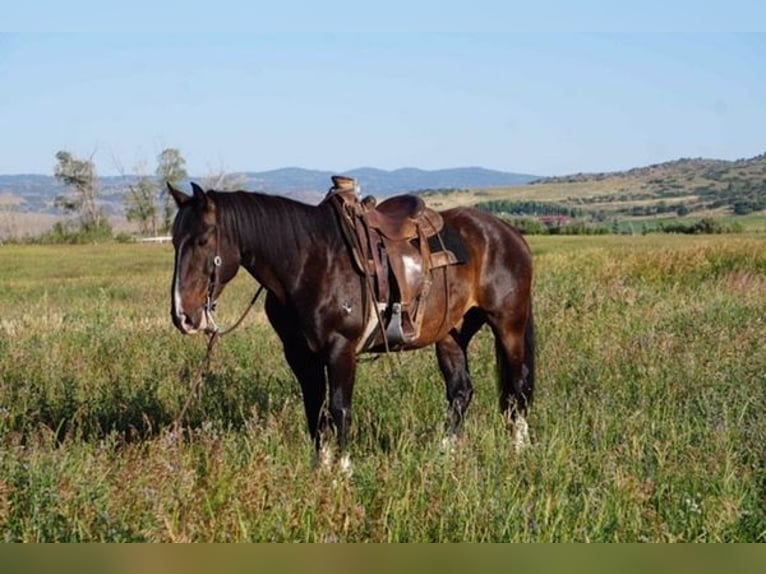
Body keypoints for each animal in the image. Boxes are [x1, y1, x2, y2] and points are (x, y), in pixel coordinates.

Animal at [170, 182, 536, 470]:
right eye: (174, 241)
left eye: (203, 240)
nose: (182, 315)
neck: (309, 262)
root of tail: (507, 232)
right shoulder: (300, 356)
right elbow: (315, 411)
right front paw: (320, 470)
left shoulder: (341, 349)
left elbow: (339, 409)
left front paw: (343, 472)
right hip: (451, 333)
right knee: (461, 391)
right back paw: (444, 453)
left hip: (509, 325)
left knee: (517, 387)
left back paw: (518, 449)